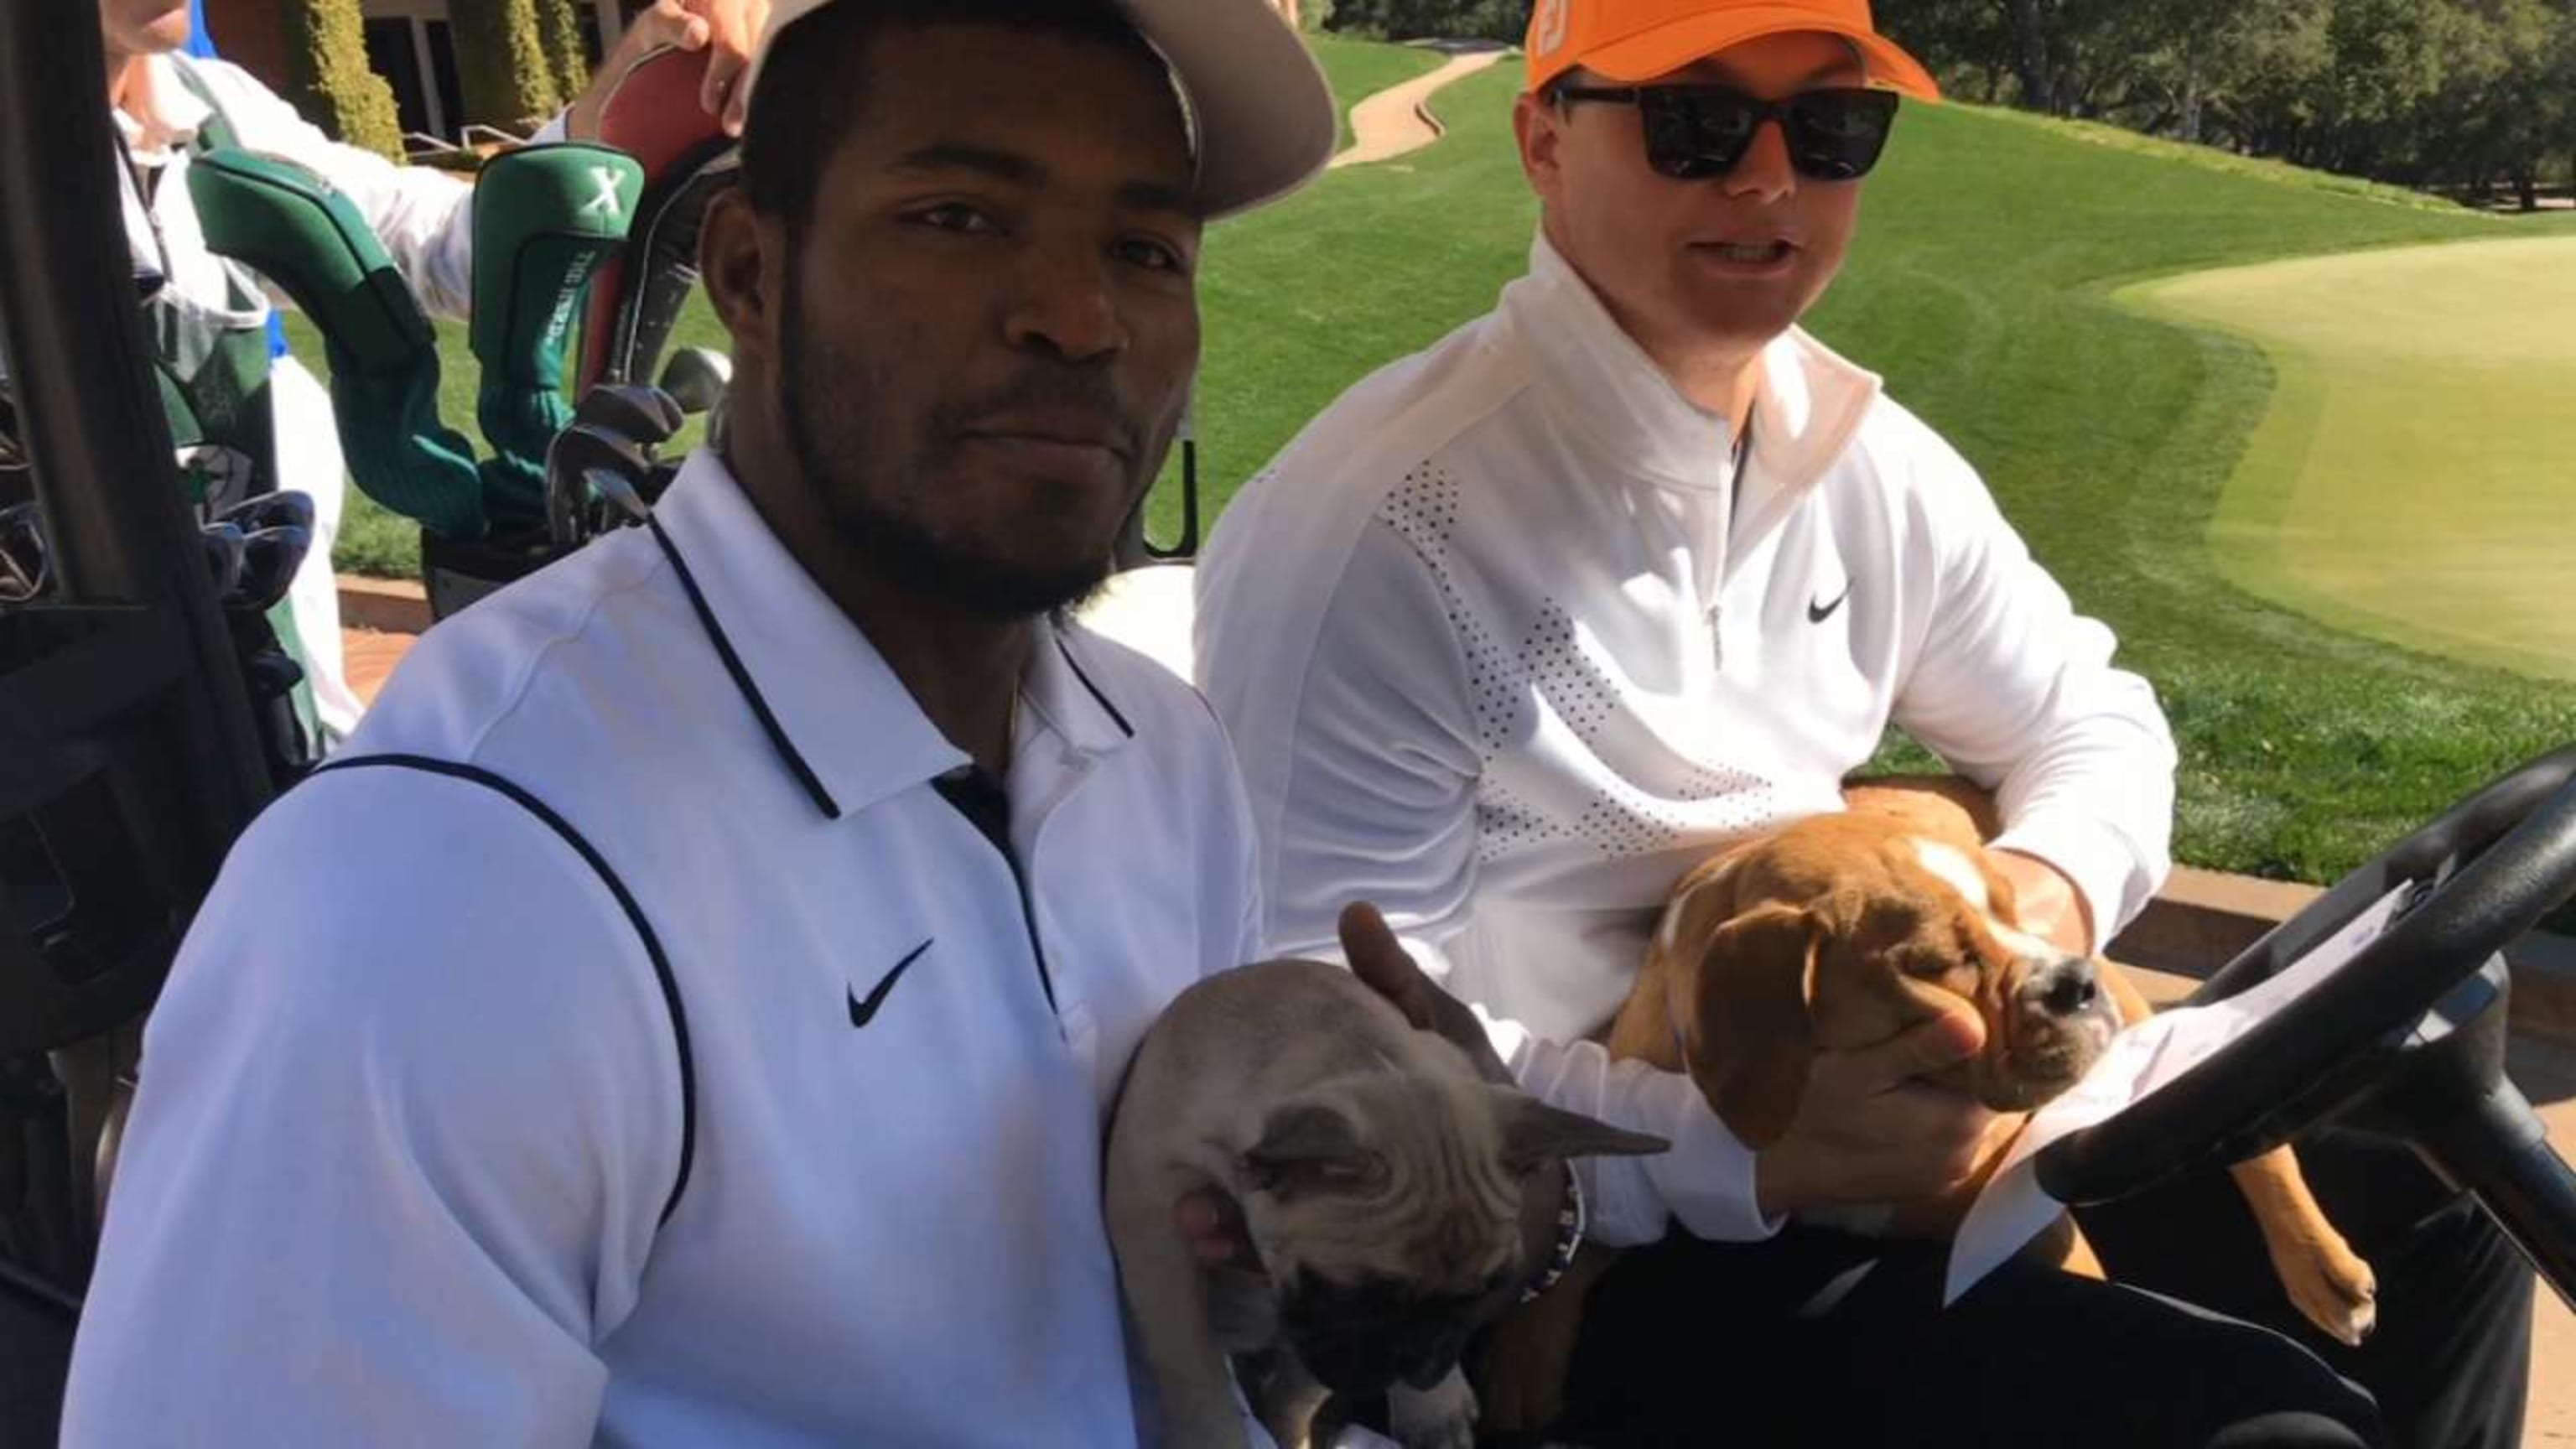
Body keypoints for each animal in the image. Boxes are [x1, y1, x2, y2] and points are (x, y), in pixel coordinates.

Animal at [1107, 953, 1669, 1433]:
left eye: (1487, 1291)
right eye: (1361, 1293)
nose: (1423, 1357)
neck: (1350, 1049)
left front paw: (1430, 1404)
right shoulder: (1154, 1225)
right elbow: (1189, 1369)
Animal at [1483, 773, 2380, 1423]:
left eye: (2017, 912)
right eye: (1941, 963)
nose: (2073, 980)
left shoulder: (2034, 1220)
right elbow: (1564, 1263)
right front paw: (1515, 1388)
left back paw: (2322, 1266)